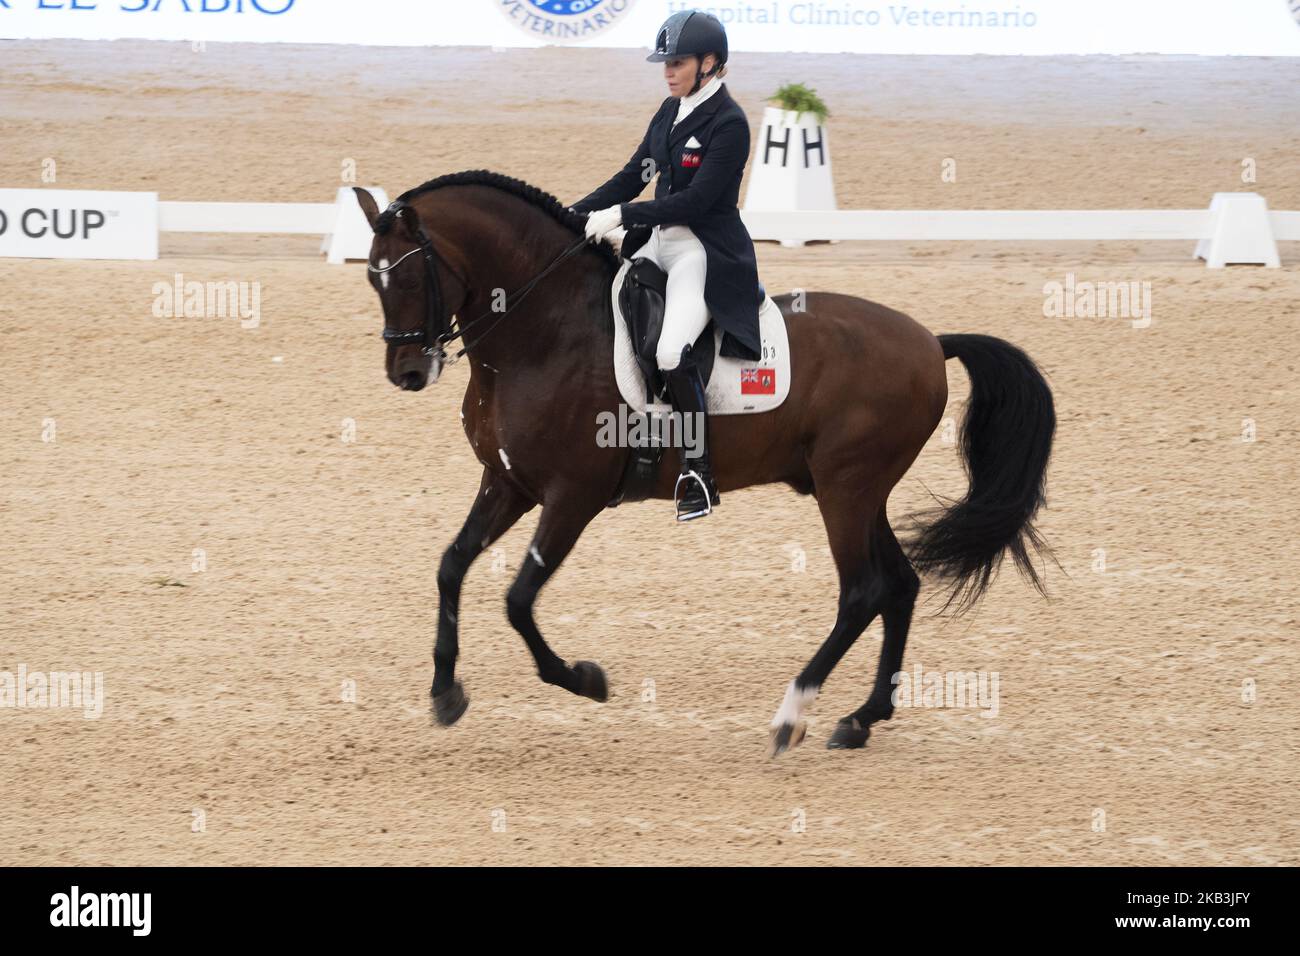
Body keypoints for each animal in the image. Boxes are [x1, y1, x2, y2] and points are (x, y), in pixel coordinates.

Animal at [353, 170, 1055, 754]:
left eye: (409, 277)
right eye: (371, 279)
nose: (407, 372)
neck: (544, 333)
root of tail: (931, 343)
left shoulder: (572, 496)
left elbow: (518, 599)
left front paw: (583, 679)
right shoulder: (508, 482)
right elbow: (451, 566)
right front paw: (446, 692)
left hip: (847, 488)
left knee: (862, 592)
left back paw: (791, 715)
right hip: (856, 489)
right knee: (900, 585)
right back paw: (860, 719)